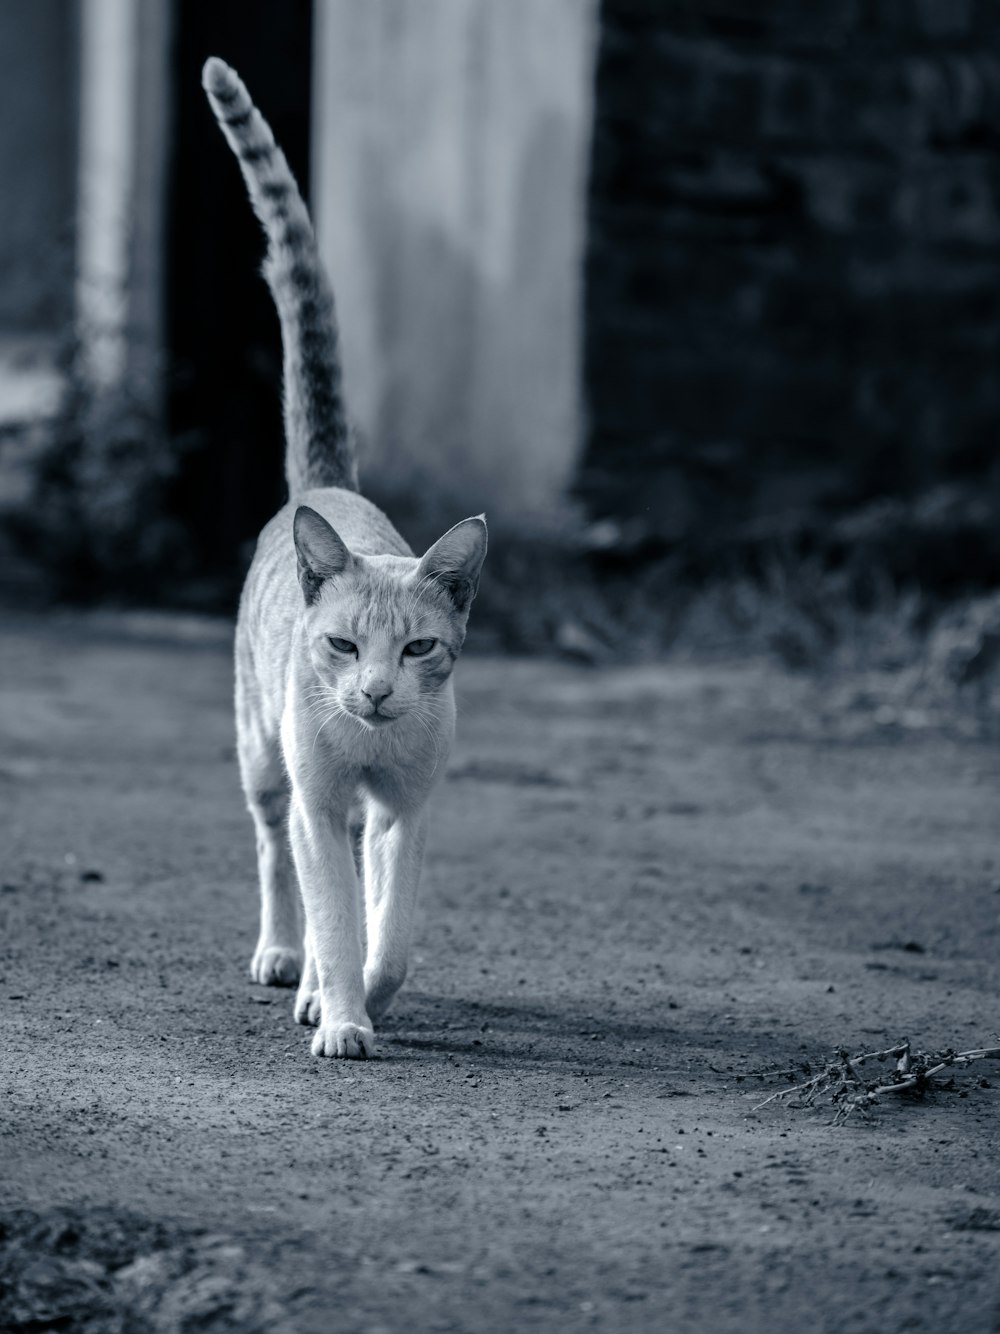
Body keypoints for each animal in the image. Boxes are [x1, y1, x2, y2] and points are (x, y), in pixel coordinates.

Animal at [201, 57, 488, 1056]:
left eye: (417, 649)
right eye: (341, 645)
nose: (370, 691)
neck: (369, 743)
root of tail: (324, 488)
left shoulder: (406, 809)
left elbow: (387, 931)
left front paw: (364, 994)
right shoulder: (320, 803)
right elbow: (331, 910)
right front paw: (338, 1016)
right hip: (259, 750)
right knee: (270, 848)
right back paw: (284, 961)